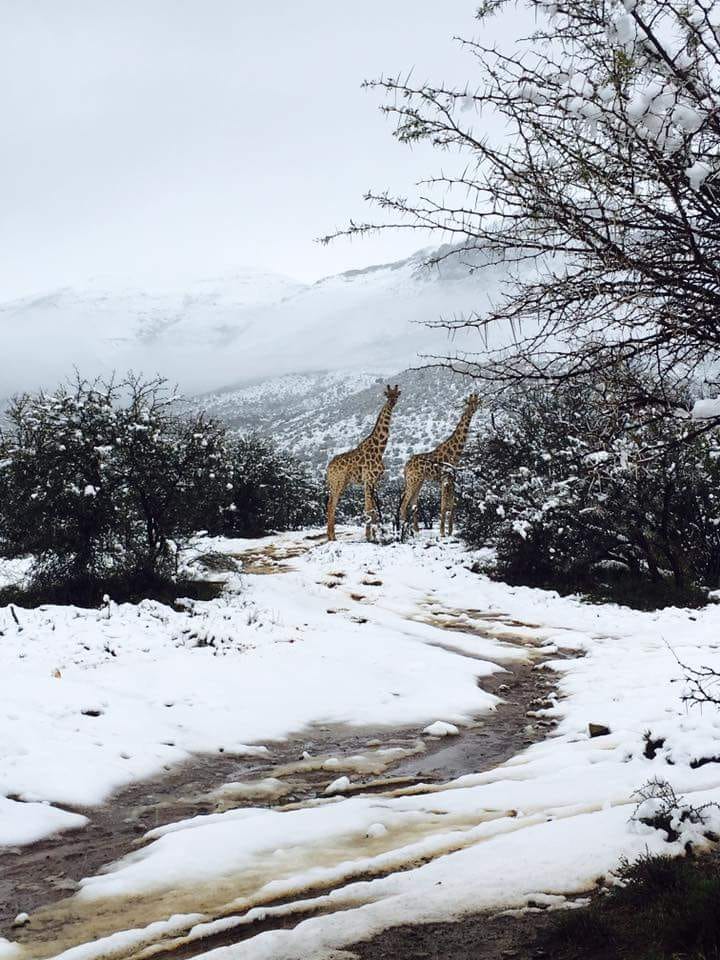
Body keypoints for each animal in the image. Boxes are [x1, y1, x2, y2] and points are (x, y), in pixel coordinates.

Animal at [326, 384, 401, 542]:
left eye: (396, 395)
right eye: (388, 395)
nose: (392, 402)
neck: (380, 449)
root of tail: (328, 468)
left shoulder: (374, 481)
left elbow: (373, 510)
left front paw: (375, 535)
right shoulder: (369, 479)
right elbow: (368, 509)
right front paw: (369, 537)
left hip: (339, 483)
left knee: (330, 504)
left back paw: (331, 536)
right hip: (338, 482)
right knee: (331, 505)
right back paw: (332, 537)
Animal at [400, 393, 481, 538]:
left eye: (476, 402)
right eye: (469, 402)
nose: (473, 409)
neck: (455, 451)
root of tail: (406, 467)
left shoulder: (452, 477)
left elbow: (452, 503)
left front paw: (450, 531)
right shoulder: (445, 477)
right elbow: (443, 504)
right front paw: (443, 532)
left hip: (419, 481)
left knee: (413, 503)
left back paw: (416, 530)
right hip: (412, 480)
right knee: (404, 504)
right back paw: (405, 531)